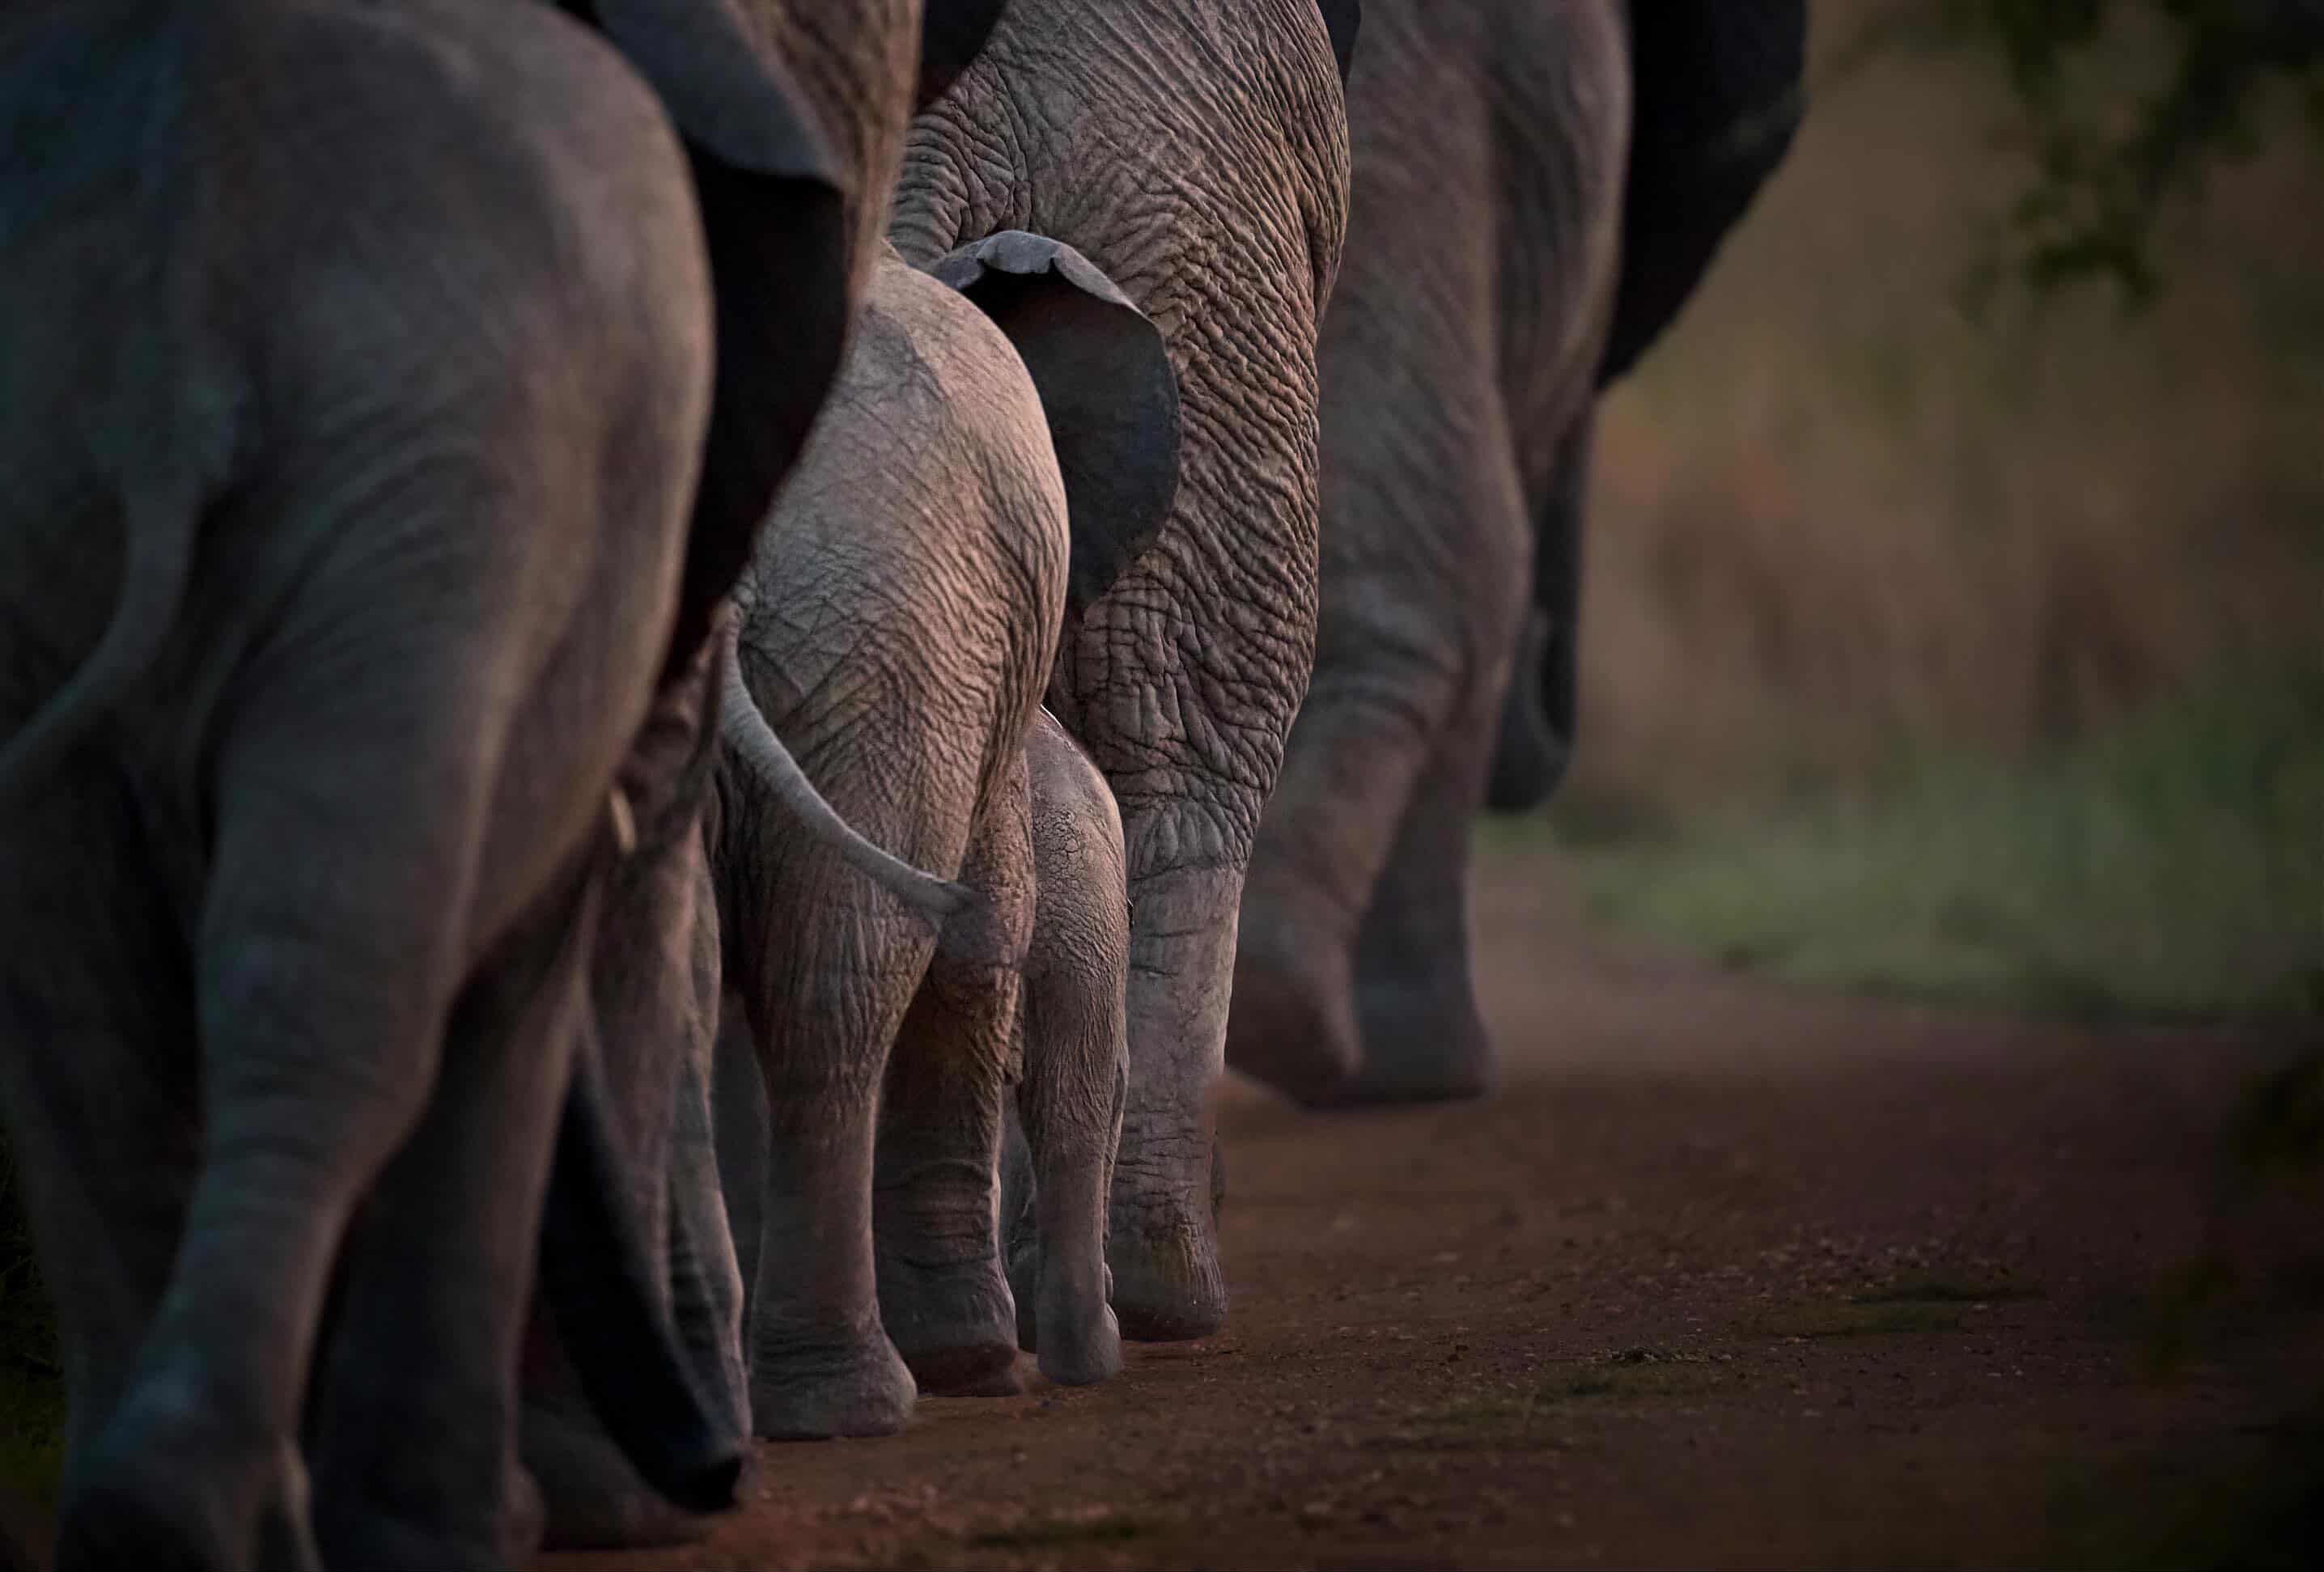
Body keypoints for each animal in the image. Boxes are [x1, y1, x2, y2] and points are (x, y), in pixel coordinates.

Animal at [0, 1, 967, 1566]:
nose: (721, 1469)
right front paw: (526, 1520)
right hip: (443, 480)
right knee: (325, 978)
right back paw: (220, 1510)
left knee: (95, 1005)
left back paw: (166, 1515)